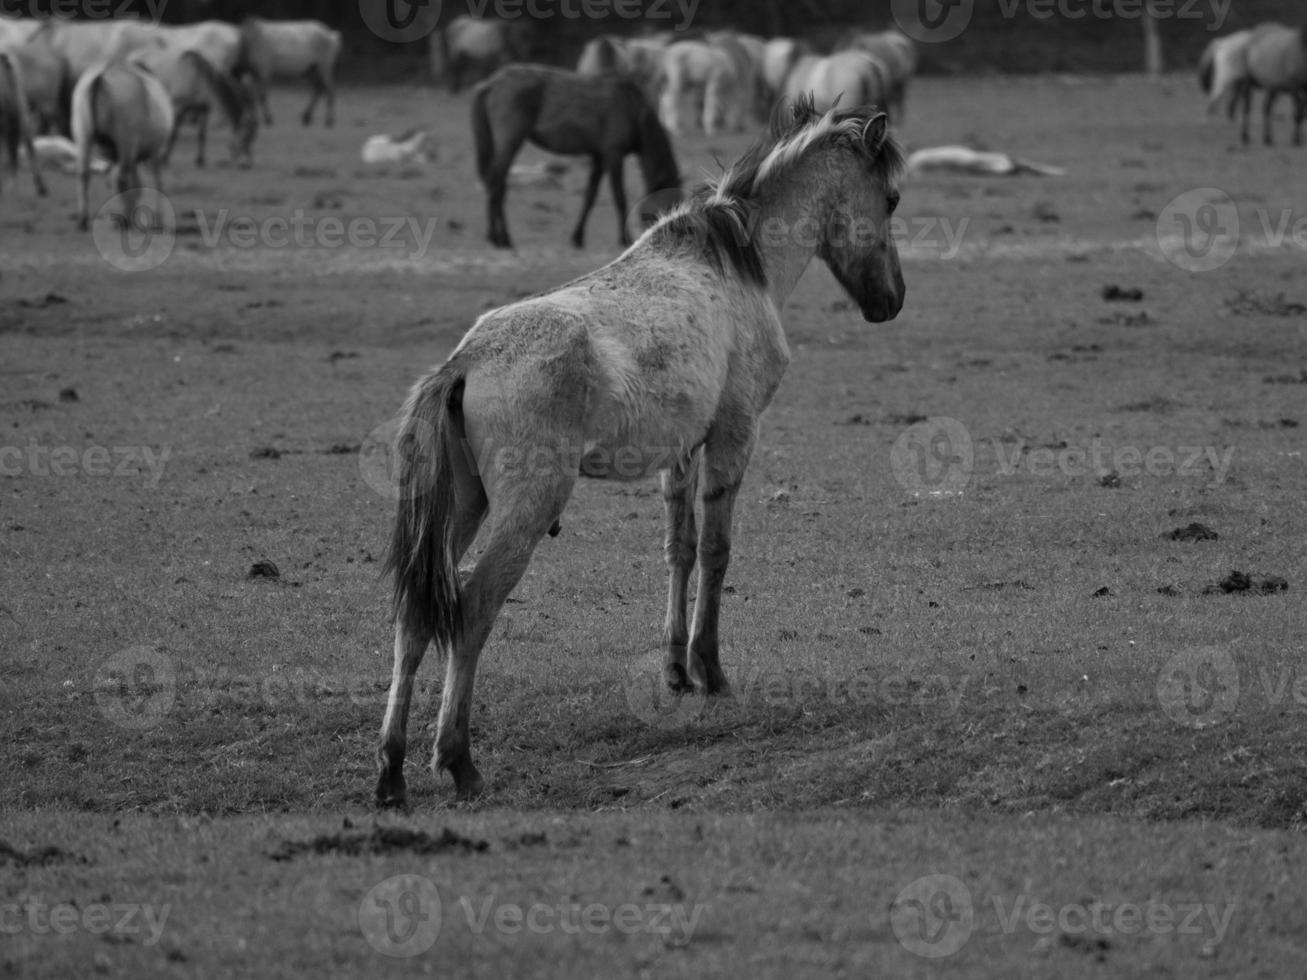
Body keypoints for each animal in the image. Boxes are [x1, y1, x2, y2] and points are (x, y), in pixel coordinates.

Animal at [72, 60, 173, 229]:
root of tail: (102, 76)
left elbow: (136, 184)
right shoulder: (155, 151)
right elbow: (155, 182)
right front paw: (157, 219)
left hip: (84, 135)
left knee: (84, 174)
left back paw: (83, 219)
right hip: (126, 141)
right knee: (119, 179)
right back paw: (123, 219)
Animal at [373, 97, 904, 804]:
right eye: (891, 199)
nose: (891, 301)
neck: (737, 262)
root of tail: (465, 363)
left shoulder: (679, 454)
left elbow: (679, 549)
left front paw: (676, 671)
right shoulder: (734, 435)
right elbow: (716, 551)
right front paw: (711, 671)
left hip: (460, 507)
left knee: (415, 618)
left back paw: (390, 771)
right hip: (524, 510)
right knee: (473, 608)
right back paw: (457, 760)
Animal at [470, 63, 679, 250]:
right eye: (668, 208)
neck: (632, 108)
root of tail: (491, 83)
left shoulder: (599, 158)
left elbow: (590, 197)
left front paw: (577, 238)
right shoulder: (614, 155)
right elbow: (619, 197)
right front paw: (623, 239)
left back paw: (495, 236)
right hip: (510, 142)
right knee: (496, 184)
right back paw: (502, 239)